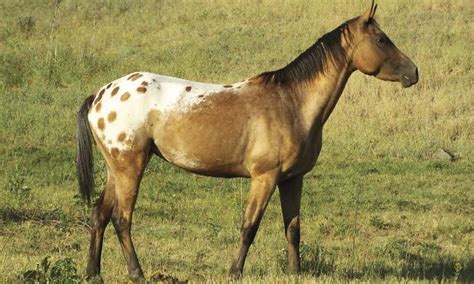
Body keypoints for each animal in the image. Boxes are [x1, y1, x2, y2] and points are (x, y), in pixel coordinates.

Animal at [77, 1, 418, 282]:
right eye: (382, 39)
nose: (413, 73)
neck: (291, 103)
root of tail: (100, 95)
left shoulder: (292, 179)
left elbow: (292, 228)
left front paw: (295, 273)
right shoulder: (264, 178)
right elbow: (249, 226)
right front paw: (235, 272)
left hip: (116, 170)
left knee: (100, 214)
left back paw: (93, 272)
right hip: (130, 167)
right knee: (122, 219)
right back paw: (137, 273)